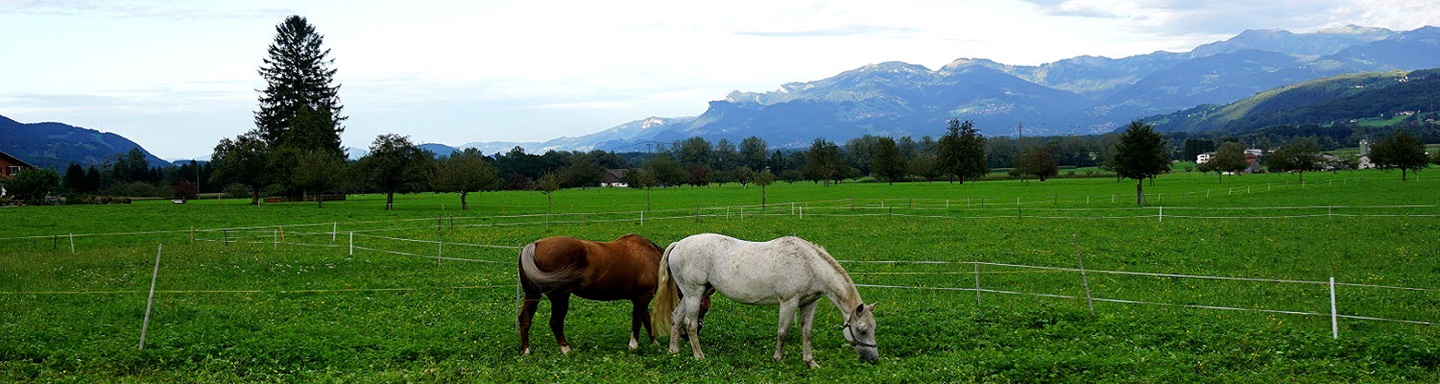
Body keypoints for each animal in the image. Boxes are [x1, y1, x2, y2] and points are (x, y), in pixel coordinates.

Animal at [518, 232, 662, 356]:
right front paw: (633, 346)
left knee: (525, 319)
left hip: (533, 295)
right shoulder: (643, 296)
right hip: (560, 297)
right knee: (555, 322)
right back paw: (566, 350)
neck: (651, 255)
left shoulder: (640, 298)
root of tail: (535, 244)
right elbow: (638, 320)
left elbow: (646, 319)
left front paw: (655, 344)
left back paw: (526, 351)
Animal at [653, 232, 875, 368]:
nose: (874, 359)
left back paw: (673, 351)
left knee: (676, 317)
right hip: (694, 294)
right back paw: (699, 356)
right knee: (690, 324)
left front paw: (810, 363)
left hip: (691, 294)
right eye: (862, 330)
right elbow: (783, 331)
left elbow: (807, 333)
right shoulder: (789, 302)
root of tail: (678, 245)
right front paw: (778, 358)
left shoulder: (809, 303)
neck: (809, 264)